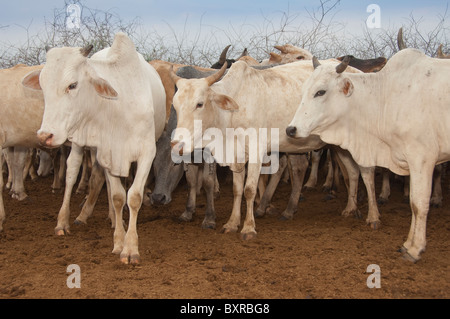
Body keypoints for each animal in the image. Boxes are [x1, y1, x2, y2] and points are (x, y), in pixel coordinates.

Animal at [21, 33, 165, 264]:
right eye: (42, 86)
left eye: (72, 85)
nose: (45, 136)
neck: (118, 108)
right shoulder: (107, 152)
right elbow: (117, 197)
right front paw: (119, 242)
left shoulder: (146, 153)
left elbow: (134, 196)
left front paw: (131, 247)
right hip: (80, 144)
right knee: (72, 173)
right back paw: (67, 220)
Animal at [288, 50, 450, 262]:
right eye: (304, 89)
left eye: (320, 92)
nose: (291, 129)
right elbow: (413, 203)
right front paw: (408, 244)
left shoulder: (422, 159)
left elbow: (419, 204)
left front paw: (415, 249)